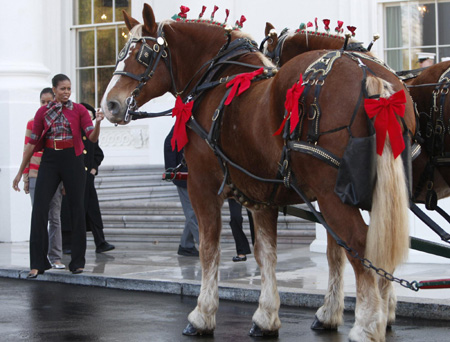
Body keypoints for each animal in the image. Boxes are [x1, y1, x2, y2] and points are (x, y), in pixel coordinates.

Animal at [101, 4, 414, 340]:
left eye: (143, 54)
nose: (109, 105)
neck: (218, 80)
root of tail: (370, 76)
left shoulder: (202, 185)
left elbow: (209, 249)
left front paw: (202, 315)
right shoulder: (262, 194)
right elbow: (267, 253)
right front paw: (266, 316)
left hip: (333, 194)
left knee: (360, 244)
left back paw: (367, 325)